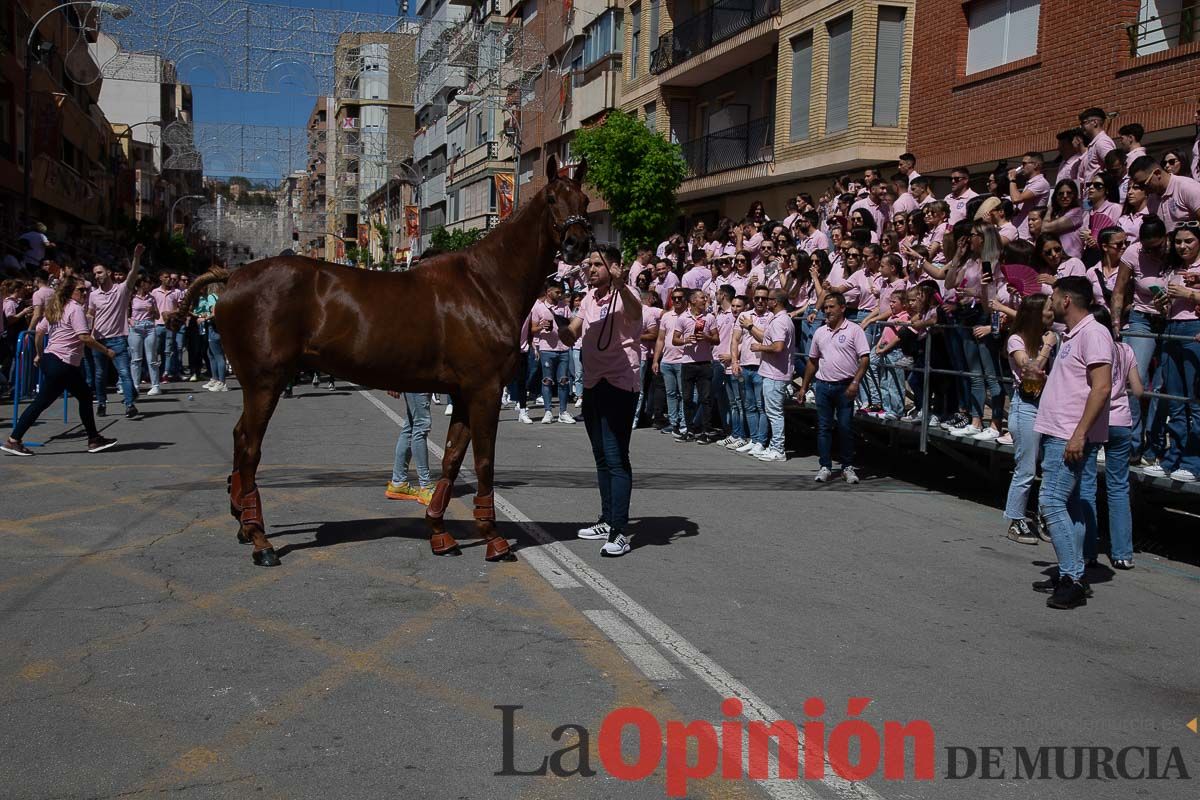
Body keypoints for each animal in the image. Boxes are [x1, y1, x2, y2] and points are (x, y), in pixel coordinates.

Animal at [174, 158, 590, 568]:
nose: (578, 244)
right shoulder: (484, 391)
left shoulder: (463, 394)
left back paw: (245, 525)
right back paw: (260, 541)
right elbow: (484, 461)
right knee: (249, 448)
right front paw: (494, 539)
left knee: (239, 439)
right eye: (552, 199)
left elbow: (452, 459)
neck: (485, 286)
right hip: (264, 383)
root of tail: (232, 276)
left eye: (584, 200)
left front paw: (439, 532)